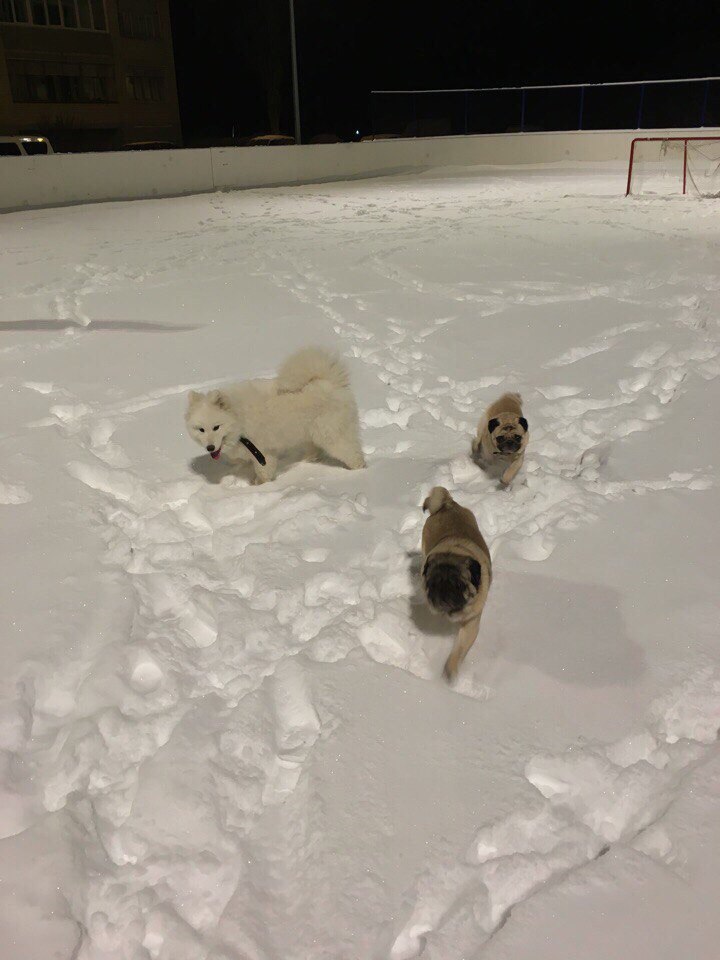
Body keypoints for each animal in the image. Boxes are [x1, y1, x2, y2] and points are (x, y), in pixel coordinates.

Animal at [186, 346, 366, 488]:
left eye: (216, 427)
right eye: (201, 430)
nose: (210, 448)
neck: (239, 418)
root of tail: (329, 383)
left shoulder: (263, 452)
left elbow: (263, 473)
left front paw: (259, 486)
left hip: (331, 435)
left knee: (352, 452)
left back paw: (358, 471)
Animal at [420, 488, 492, 684]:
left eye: (459, 584)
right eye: (432, 583)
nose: (443, 592)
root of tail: (447, 504)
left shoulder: (471, 623)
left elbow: (459, 650)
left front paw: (450, 671)